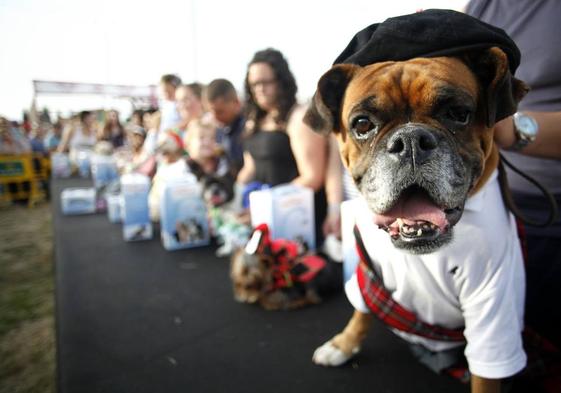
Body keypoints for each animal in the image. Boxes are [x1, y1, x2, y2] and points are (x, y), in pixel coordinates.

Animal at [306, 9, 528, 392]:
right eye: (361, 124)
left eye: (458, 113)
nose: (410, 141)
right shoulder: (368, 272)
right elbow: (362, 308)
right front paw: (344, 344)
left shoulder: (493, 307)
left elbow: (485, 376)